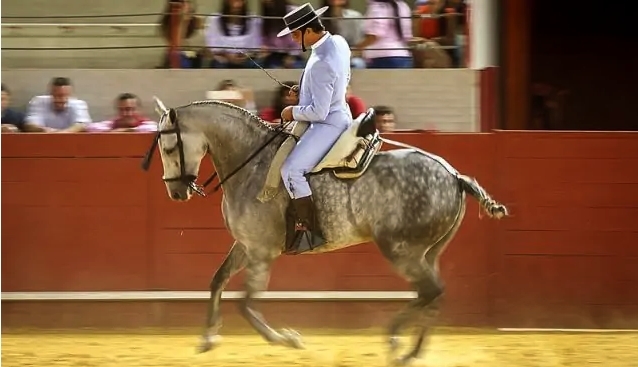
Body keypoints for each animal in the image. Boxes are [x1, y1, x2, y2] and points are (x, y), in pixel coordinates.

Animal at [142, 97, 508, 366]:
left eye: (169, 148)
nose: (176, 192)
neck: (251, 161)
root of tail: (454, 176)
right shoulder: (245, 246)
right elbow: (217, 280)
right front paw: (208, 337)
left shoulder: (261, 252)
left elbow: (246, 303)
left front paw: (288, 339)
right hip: (427, 252)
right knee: (433, 293)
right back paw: (411, 351)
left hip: (401, 250)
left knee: (430, 291)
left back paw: (395, 341)